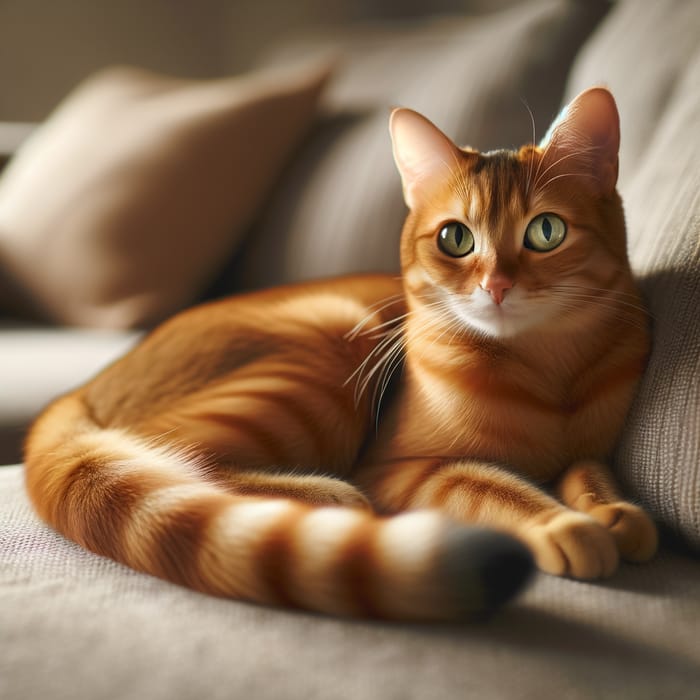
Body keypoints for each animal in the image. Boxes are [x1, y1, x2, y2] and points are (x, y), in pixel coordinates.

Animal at [23, 89, 656, 624]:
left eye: (546, 231)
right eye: (455, 238)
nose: (496, 286)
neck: (545, 374)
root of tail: (82, 391)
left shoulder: (589, 449)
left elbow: (589, 472)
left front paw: (615, 513)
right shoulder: (401, 469)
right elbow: (496, 486)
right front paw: (566, 524)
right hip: (322, 356)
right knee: (176, 452)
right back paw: (327, 494)